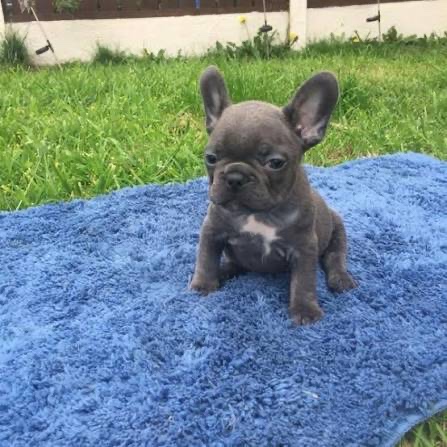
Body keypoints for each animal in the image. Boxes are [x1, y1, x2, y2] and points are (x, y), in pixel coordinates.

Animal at [189, 66, 357, 325]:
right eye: (211, 158)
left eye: (275, 163)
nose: (235, 177)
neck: (258, 214)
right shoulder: (212, 231)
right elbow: (206, 259)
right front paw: (203, 285)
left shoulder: (304, 248)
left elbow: (304, 281)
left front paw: (305, 310)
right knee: (234, 263)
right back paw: (224, 271)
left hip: (337, 228)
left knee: (335, 257)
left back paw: (341, 279)